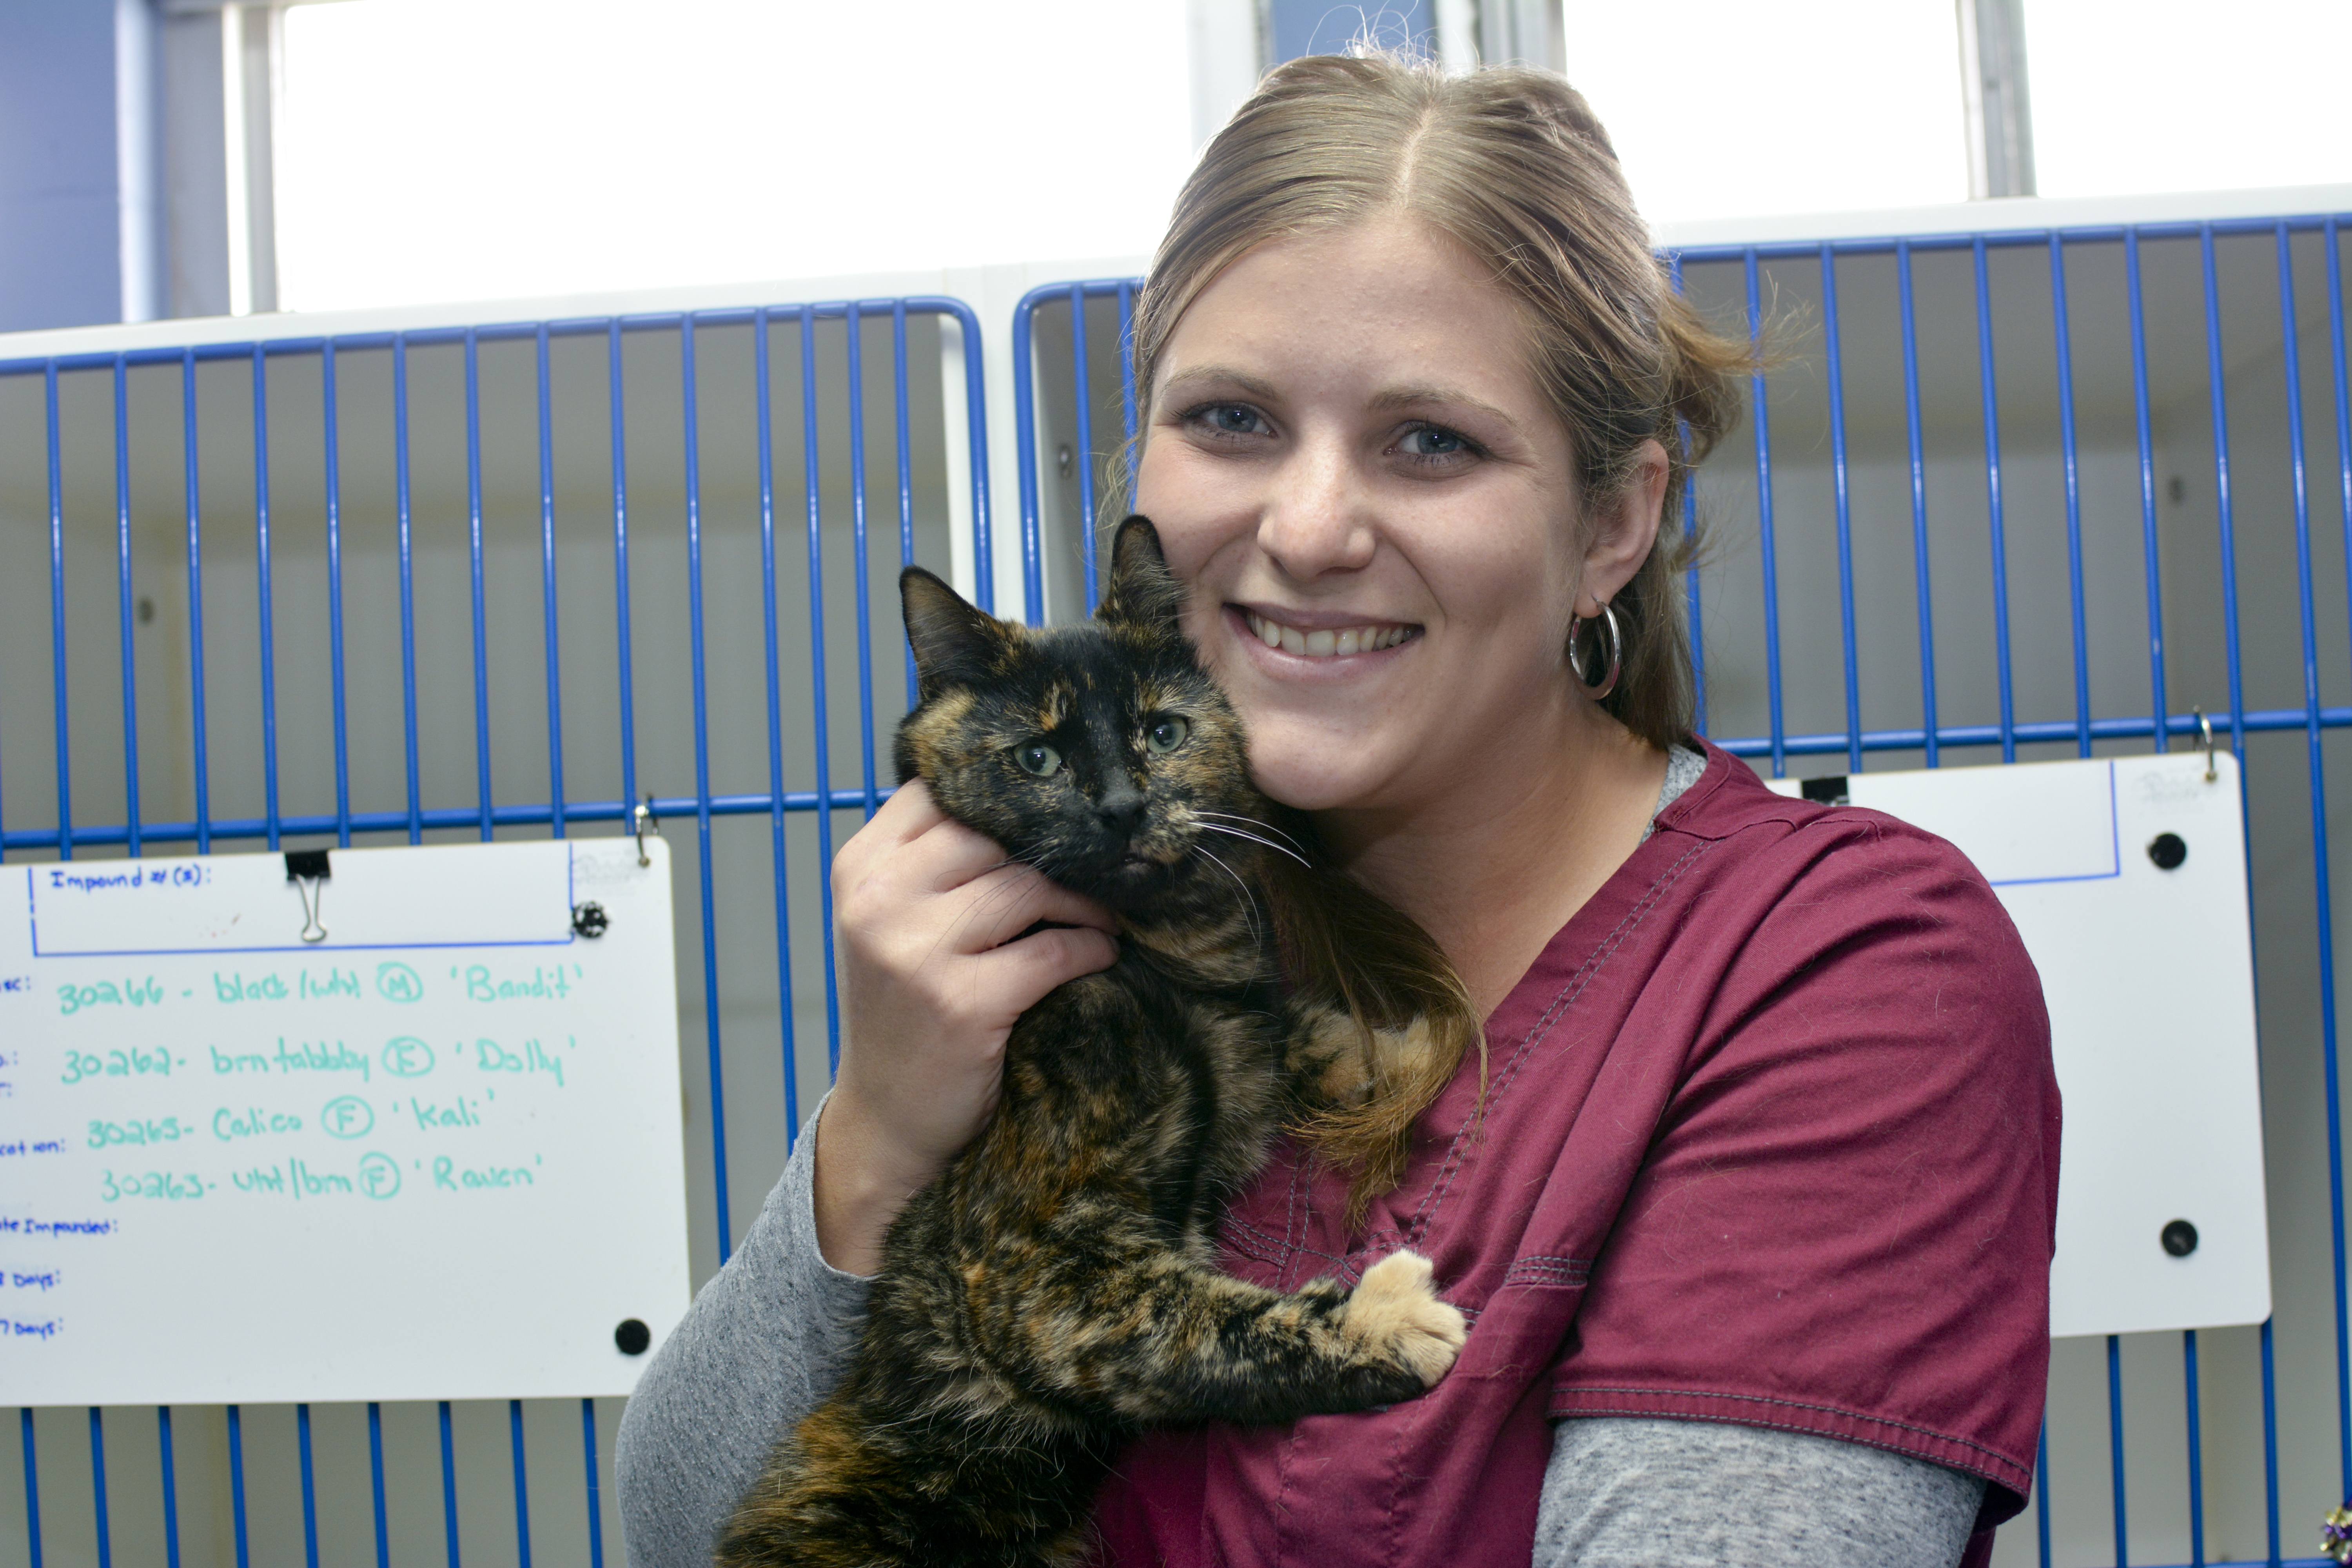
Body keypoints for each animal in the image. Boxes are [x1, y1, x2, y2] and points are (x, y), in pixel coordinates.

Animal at [715, 522, 1458, 1561]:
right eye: (1037, 756)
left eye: (1162, 732)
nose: (1118, 806)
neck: (1158, 960)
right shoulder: (1035, 1267)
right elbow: (1201, 1324)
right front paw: (1380, 1320)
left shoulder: (1234, 1022)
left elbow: (1283, 1025)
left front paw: (1393, 1052)